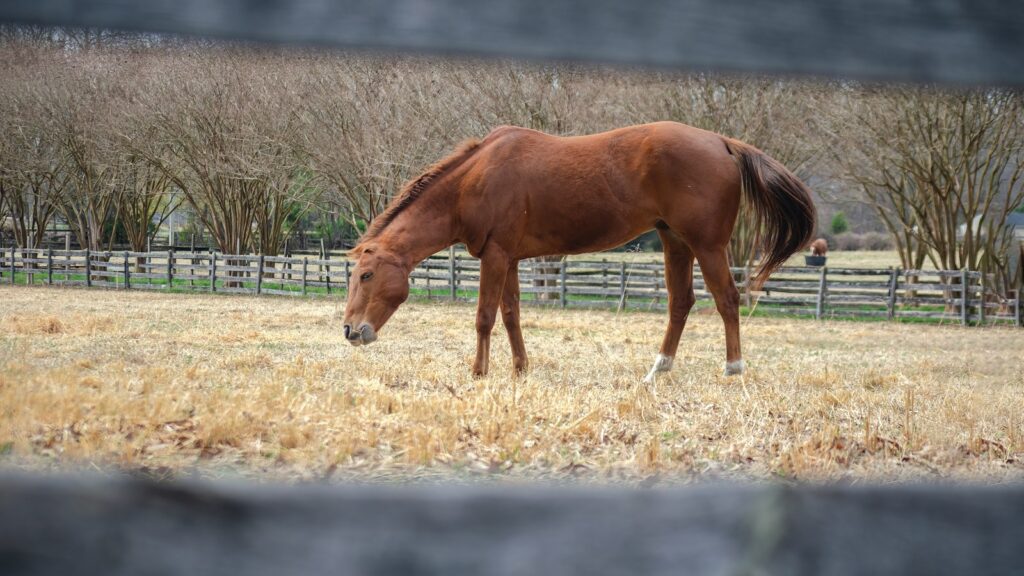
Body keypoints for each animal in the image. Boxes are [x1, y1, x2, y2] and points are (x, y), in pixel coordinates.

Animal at [343, 122, 815, 380]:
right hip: (674, 241)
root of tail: (722, 142)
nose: (350, 331)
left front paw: (478, 372)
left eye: (366, 275)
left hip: (707, 245)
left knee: (727, 299)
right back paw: (657, 371)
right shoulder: (508, 258)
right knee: (681, 303)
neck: (473, 181)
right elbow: (512, 314)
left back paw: (733, 369)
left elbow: (484, 317)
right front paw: (520, 369)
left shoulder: (494, 257)